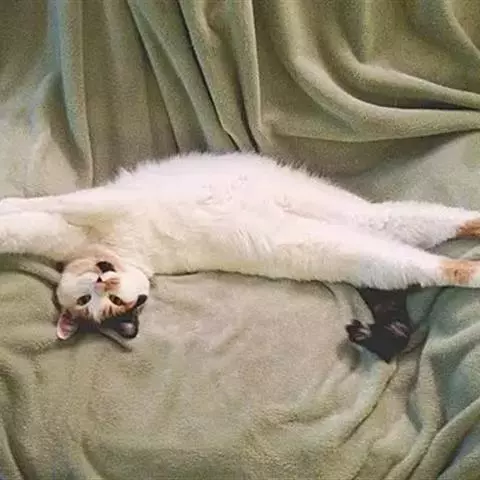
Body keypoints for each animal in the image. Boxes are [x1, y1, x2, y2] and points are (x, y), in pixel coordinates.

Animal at [1, 151, 480, 357]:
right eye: (92, 302)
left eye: (110, 299)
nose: (105, 279)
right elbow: (33, 219)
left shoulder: (97, 204)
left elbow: (37, 212)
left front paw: (10, 207)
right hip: (357, 240)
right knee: (417, 237)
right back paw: (473, 242)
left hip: (344, 224)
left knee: (430, 248)